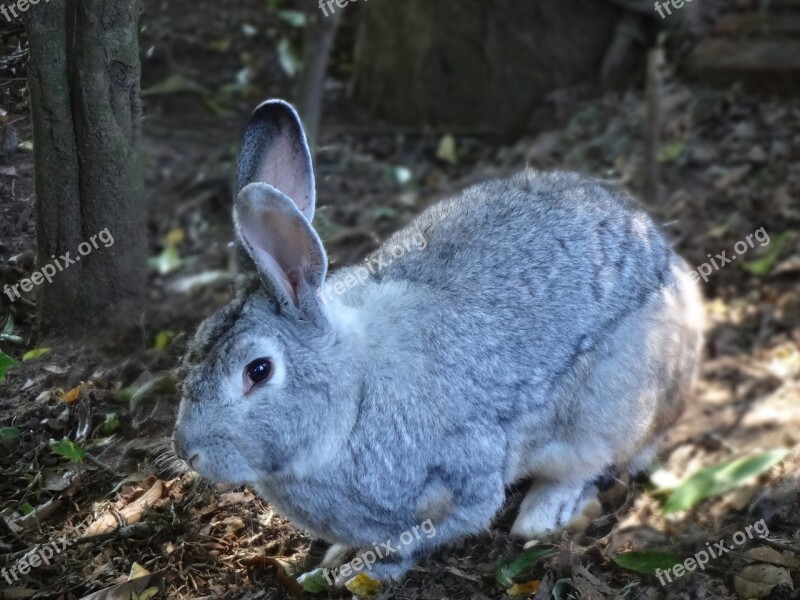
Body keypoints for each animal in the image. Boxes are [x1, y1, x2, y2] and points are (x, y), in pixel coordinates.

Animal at [172, 101, 704, 584]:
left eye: (258, 371)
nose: (186, 451)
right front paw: (334, 559)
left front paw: (364, 571)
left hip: (609, 403)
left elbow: (431, 532)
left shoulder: (465, 482)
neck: (356, 395)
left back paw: (542, 513)